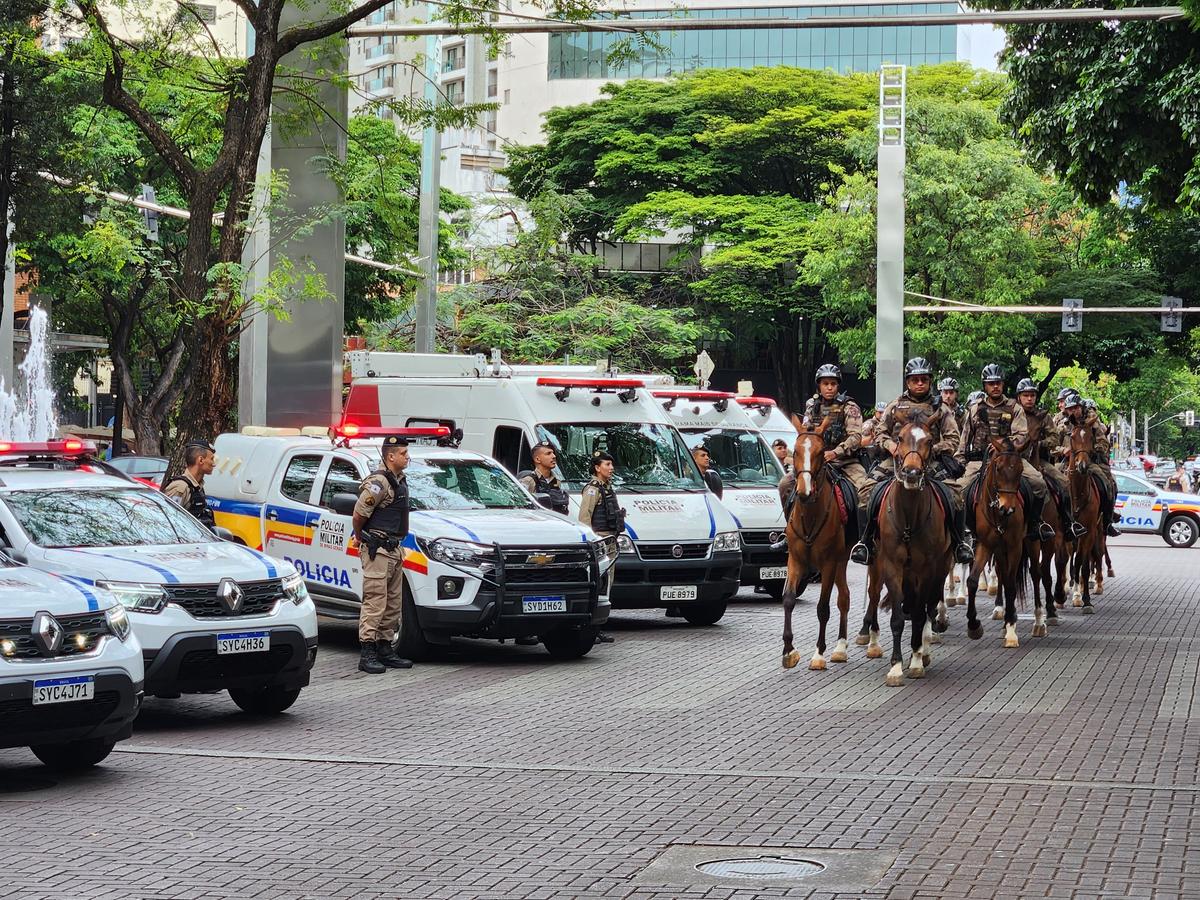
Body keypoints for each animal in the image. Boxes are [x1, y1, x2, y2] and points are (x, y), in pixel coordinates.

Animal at [777, 415, 854, 672]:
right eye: (796, 450)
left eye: (821, 452)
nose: (804, 491)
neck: (810, 514)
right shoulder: (795, 559)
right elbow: (788, 599)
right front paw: (789, 651)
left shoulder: (828, 563)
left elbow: (822, 608)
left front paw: (819, 654)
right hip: (840, 562)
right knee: (845, 597)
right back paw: (841, 647)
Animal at [868, 420, 950, 686]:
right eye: (900, 438)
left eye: (929, 440)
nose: (912, 474)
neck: (908, 520)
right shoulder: (891, 567)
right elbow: (897, 617)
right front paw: (895, 667)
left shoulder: (926, 571)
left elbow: (919, 614)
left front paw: (915, 661)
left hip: (941, 568)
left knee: (928, 607)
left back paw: (924, 651)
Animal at [964, 439, 1032, 643]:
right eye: (998, 468)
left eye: (1020, 469)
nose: (1007, 508)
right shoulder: (985, 544)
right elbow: (972, 580)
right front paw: (973, 625)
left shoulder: (1015, 546)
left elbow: (1011, 585)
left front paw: (1010, 628)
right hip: (999, 550)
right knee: (1002, 574)